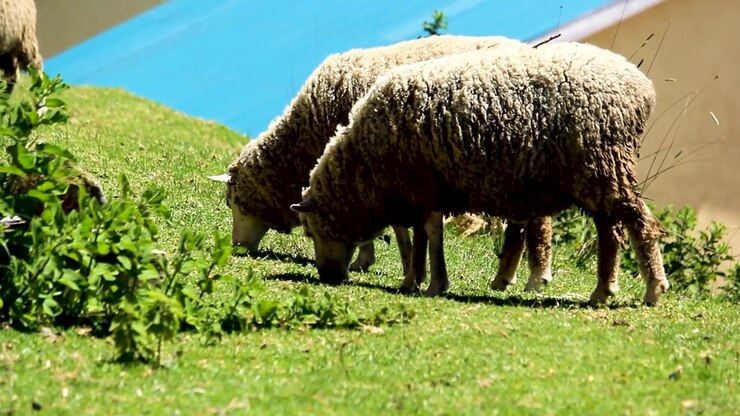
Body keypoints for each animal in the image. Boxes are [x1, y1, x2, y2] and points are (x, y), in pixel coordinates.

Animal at [211, 34, 553, 287]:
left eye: (234, 202)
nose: (235, 248)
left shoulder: (376, 170)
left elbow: (398, 227)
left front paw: (387, 263)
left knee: (537, 224)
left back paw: (535, 277)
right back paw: (506, 277)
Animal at [291, 41, 670, 305]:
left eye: (311, 231)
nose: (327, 277)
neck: (365, 162)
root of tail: (642, 88)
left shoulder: (421, 185)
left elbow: (428, 234)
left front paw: (429, 283)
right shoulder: (425, 189)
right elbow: (422, 236)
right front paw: (416, 279)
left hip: (603, 165)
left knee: (639, 223)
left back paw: (652, 289)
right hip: (595, 174)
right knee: (610, 231)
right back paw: (602, 291)